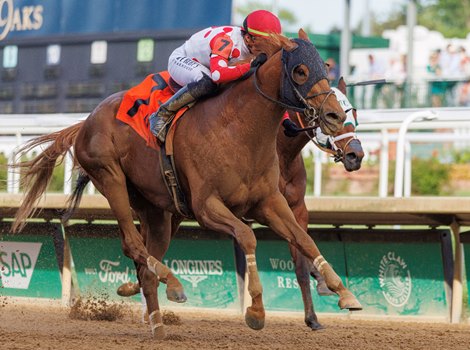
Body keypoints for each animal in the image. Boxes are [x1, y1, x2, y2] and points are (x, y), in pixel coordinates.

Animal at [12, 30, 362, 340]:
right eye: (301, 71)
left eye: (325, 68)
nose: (334, 118)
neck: (240, 130)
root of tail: (86, 121)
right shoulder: (207, 207)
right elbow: (247, 237)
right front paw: (256, 311)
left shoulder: (270, 202)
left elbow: (304, 241)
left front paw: (343, 293)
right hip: (111, 179)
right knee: (132, 245)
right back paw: (174, 285)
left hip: (158, 211)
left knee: (145, 263)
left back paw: (156, 322)